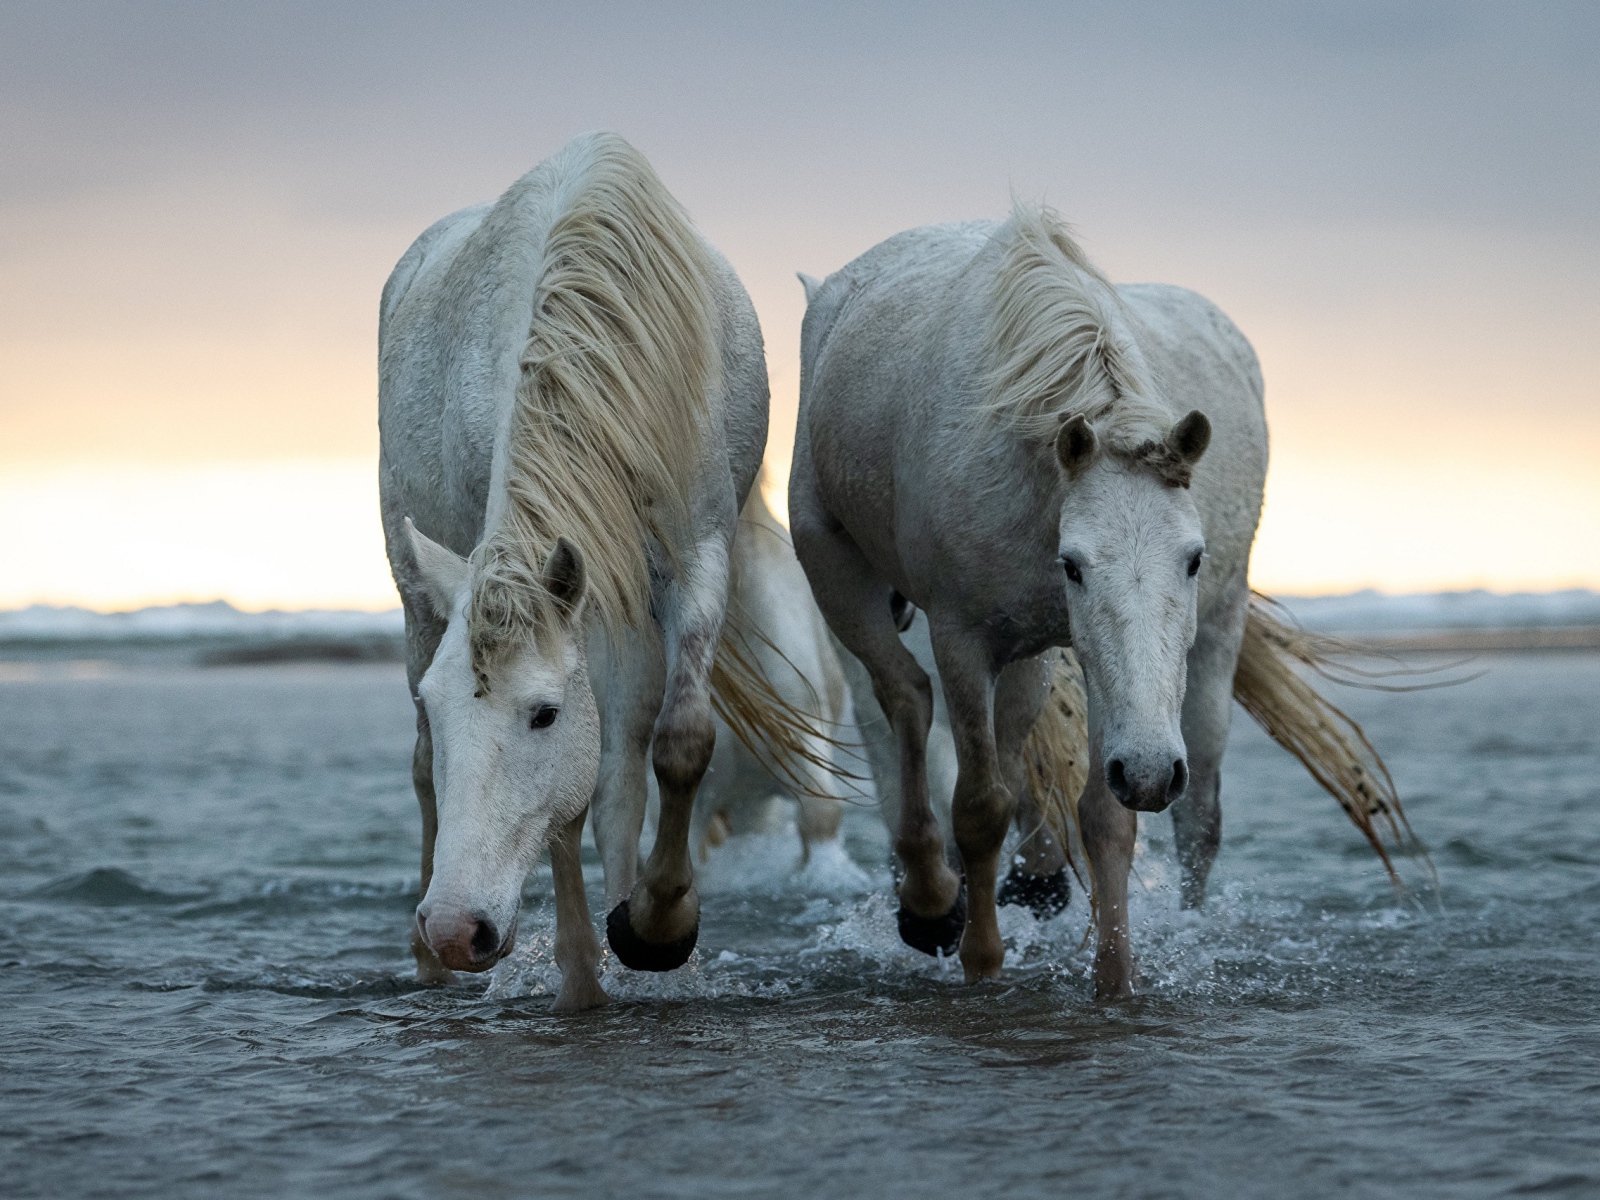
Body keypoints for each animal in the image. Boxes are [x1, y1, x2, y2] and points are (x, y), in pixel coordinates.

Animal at [378, 132, 778, 1012]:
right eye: (440, 706)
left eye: (543, 714)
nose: (454, 927)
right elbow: (563, 802)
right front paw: (581, 974)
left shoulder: (693, 559)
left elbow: (675, 742)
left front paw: (657, 928)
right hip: (415, 583)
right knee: (423, 770)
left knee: (623, 764)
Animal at [790, 205, 1269, 1000]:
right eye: (1073, 565)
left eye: (1193, 559)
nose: (1153, 770)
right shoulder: (961, 637)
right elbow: (980, 805)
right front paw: (981, 959)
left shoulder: (1080, 655)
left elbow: (1103, 815)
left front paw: (1115, 981)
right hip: (837, 571)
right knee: (906, 699)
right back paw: (930, 904)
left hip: (1045, 651)